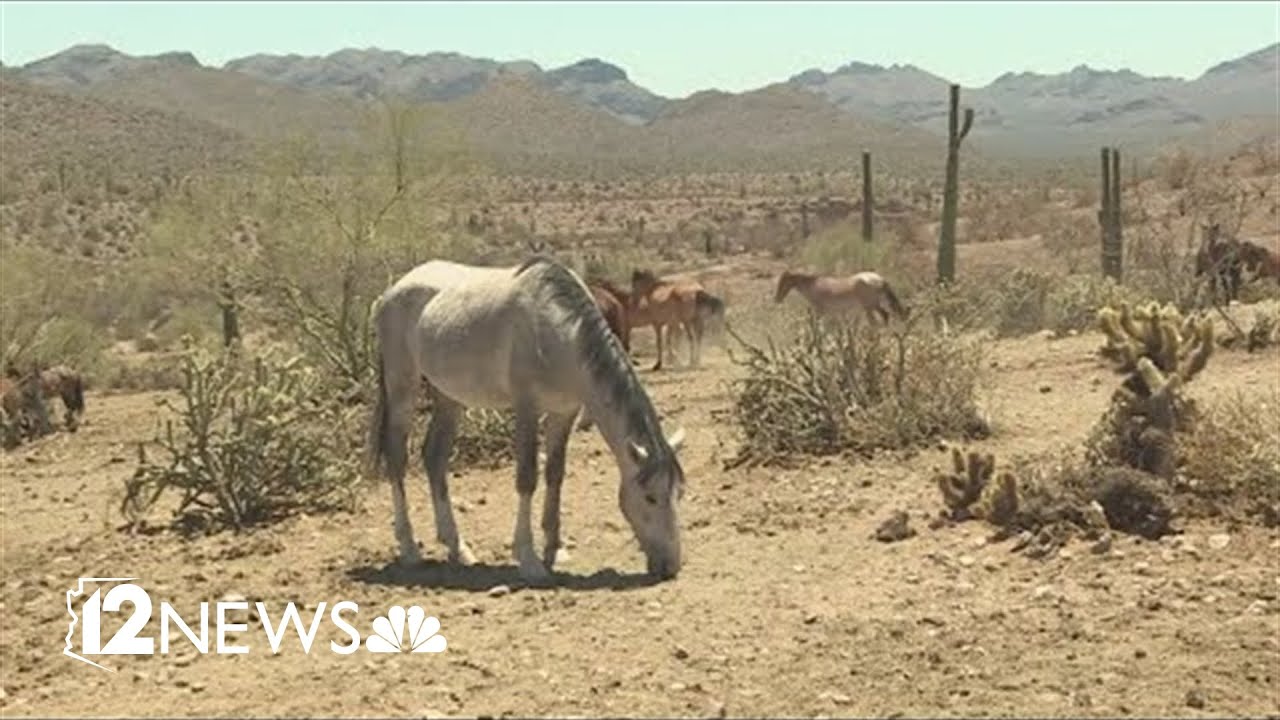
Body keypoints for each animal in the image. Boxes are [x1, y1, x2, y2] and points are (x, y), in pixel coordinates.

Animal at [367, 256, 687, 582]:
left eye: (679, 493)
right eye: (650, 497)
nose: (671, 567)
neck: (559, 332)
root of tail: (392, 291)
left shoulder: (564, 412)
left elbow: (555, 474)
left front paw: (555, 548)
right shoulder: (527, 409)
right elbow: (527, 478)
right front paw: (529, 559)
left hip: (448, 397)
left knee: (434, 458)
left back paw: (459, 548)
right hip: (402, 389)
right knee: (397, 459)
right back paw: (409, 549)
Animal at [774, 269, 907, 323]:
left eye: (783, 282)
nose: (777, 299)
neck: (813, 285)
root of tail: (879, 279)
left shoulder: (820, 310)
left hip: (869, 307)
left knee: (876, 320)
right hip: (874, 305)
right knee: (885, 316)